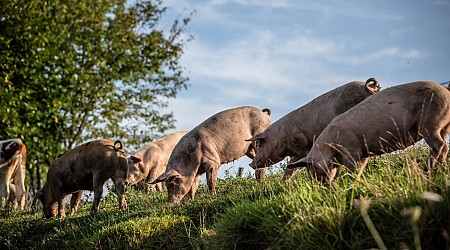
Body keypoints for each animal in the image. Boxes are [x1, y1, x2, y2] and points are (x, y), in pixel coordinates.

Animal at [246, 77, 380, 180]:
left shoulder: (302, 144)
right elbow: (290, 169)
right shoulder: (296, 154)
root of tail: (369, 87)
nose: (250, 164)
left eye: (261, 143)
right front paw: (283, 184)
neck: (281, 137)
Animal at [286, 81, 450, 181]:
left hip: (430, 121)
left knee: (439, 145)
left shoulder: (351, 150)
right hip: (443, 125)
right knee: (444, 146)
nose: (323, 186)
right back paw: (440, 168)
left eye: (313, 171)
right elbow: (360, 168)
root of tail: (446, 92)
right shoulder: (364, 153)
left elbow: (352, 168)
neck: (330, 146)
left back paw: (426, 169)